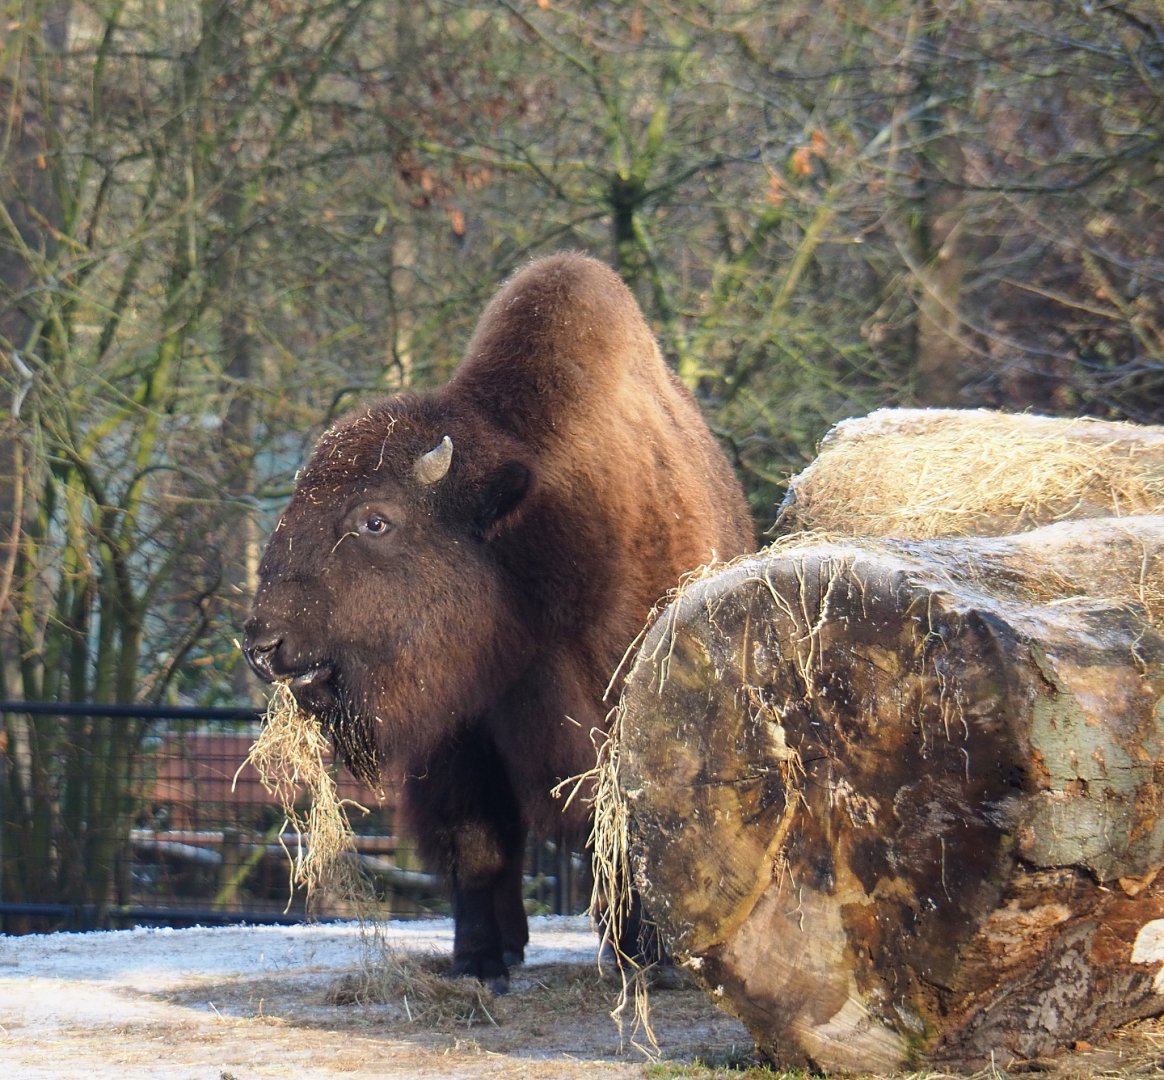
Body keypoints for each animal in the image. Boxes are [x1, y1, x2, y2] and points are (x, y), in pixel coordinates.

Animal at [243, 252, 753, 987]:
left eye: (376, 520)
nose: (264, 644)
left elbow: (624, 839)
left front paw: (642, 959)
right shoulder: (458, 742)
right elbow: (478, 845)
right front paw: (480, 961)